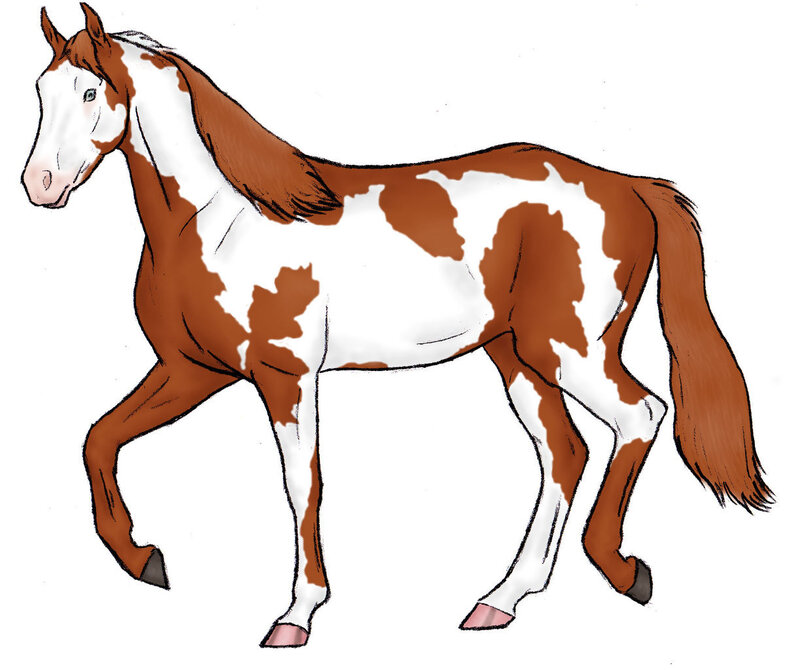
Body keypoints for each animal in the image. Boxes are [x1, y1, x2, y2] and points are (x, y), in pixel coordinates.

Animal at [22, 4, 771, 648]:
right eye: (41, 89)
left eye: (90, 92)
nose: (39, 186)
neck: (216, 220)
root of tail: (629, 185)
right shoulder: (192, 372)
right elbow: (99, 441)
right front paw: (145, 559)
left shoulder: (285, 376)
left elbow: (303, 485)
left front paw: (296, 616)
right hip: (518, 359)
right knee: (565, 453)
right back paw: (500, 600)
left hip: (570, 350)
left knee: (640, 415)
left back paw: (622, 570)